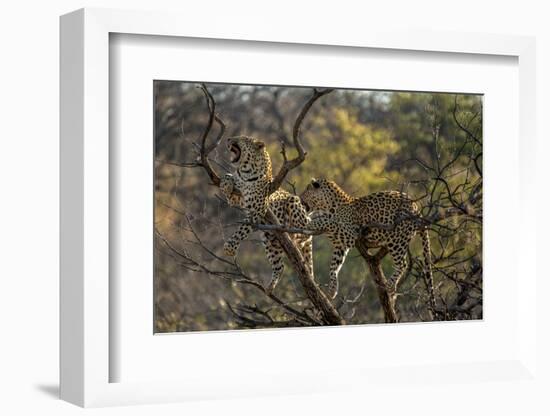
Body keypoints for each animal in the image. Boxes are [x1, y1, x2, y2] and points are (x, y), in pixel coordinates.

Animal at [221, 135, 314, 294]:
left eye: (241, 138)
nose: (228, 139)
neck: (245, 172)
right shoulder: (237, 199)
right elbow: (229, 177)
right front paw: (225, 185)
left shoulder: (257, 209)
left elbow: (241, 230)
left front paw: (230, 247)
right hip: (269, 241)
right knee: (280, 266)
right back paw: (270, 287)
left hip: (295, 205)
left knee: (305, 232)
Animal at [300, 177, 438, 310]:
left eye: (306, 190)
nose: (300, 198)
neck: (326, 207)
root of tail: (416, 207)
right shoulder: (341, 245)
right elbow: (333, 266)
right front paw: (332, 290)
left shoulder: (349, 232)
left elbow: (329, 222)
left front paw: (311, 222)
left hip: (398, 239)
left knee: (402, 263)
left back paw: (390, 285)